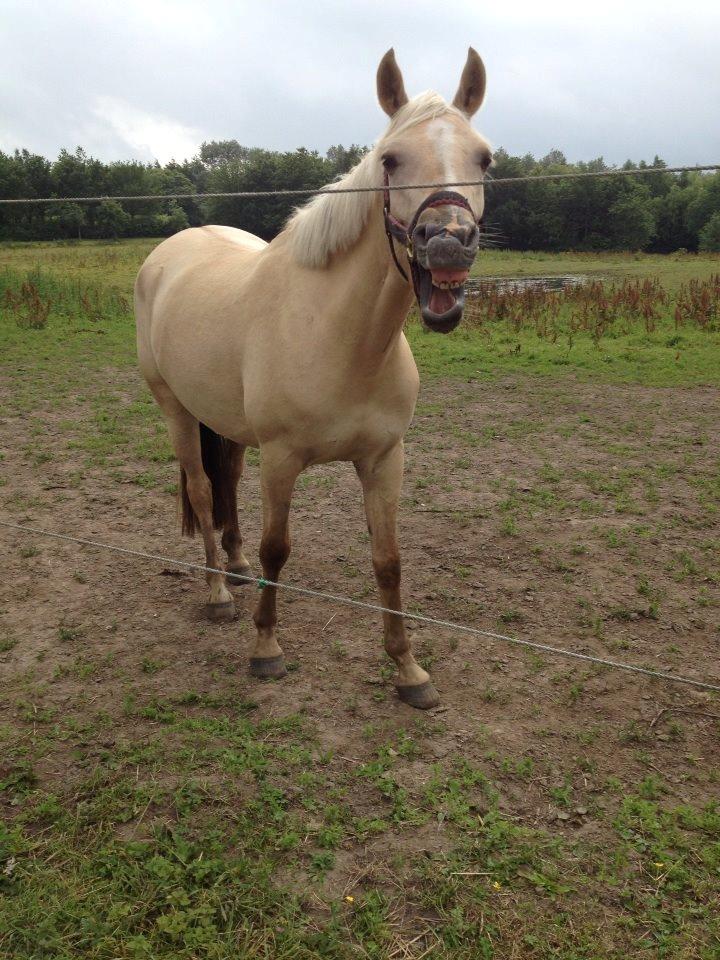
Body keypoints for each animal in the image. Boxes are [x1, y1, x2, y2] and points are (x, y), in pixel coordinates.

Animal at [134, 48, 492, 708]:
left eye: (484, 158)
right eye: (390, 159)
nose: (448, 244)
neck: (341, 338)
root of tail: (171, 252)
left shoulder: (384, 458)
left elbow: (388, 560)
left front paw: (409, 670)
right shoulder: (282, 458)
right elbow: (279, 549)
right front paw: (266, 649)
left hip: (227, 425)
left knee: (226, 485)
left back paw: (235, 569)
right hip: (175, 408)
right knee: (202, 488)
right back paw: (218, 593)